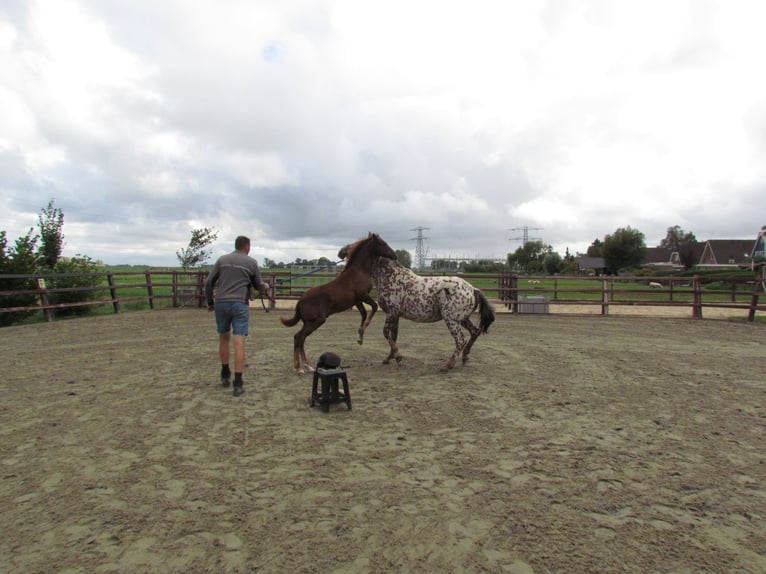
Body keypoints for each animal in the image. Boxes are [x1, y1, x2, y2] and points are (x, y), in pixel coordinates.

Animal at [280, 234, 396, 378]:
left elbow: (363, 314)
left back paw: (308, 366)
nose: (395, 255)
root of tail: (300, 301)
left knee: (302, 339)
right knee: (298, 337)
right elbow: (374, 307)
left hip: (308, 322)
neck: (358, 271)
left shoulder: (357, 301)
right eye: (383, 243)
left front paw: (360, 337)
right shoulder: (363, 296)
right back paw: (299, 368)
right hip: (316, 321)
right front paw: (362, 333)